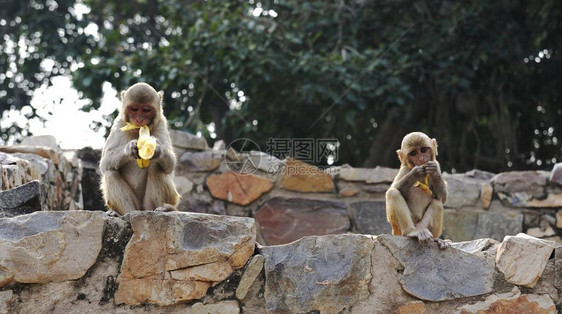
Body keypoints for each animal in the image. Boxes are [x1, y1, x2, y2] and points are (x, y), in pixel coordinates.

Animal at [98, 83, 179, 216]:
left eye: (146, 110)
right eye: (134, 109)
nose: (139, 119)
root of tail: (141, 209)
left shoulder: (162, 124)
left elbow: (170, 165)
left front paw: (158, 150)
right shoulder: (118, 124)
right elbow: (105, 163)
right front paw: (129, 149)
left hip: (161, 201)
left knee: (156, 166)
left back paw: (162, 208)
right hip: (135, 205)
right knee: (110, 172)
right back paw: (124, 213)